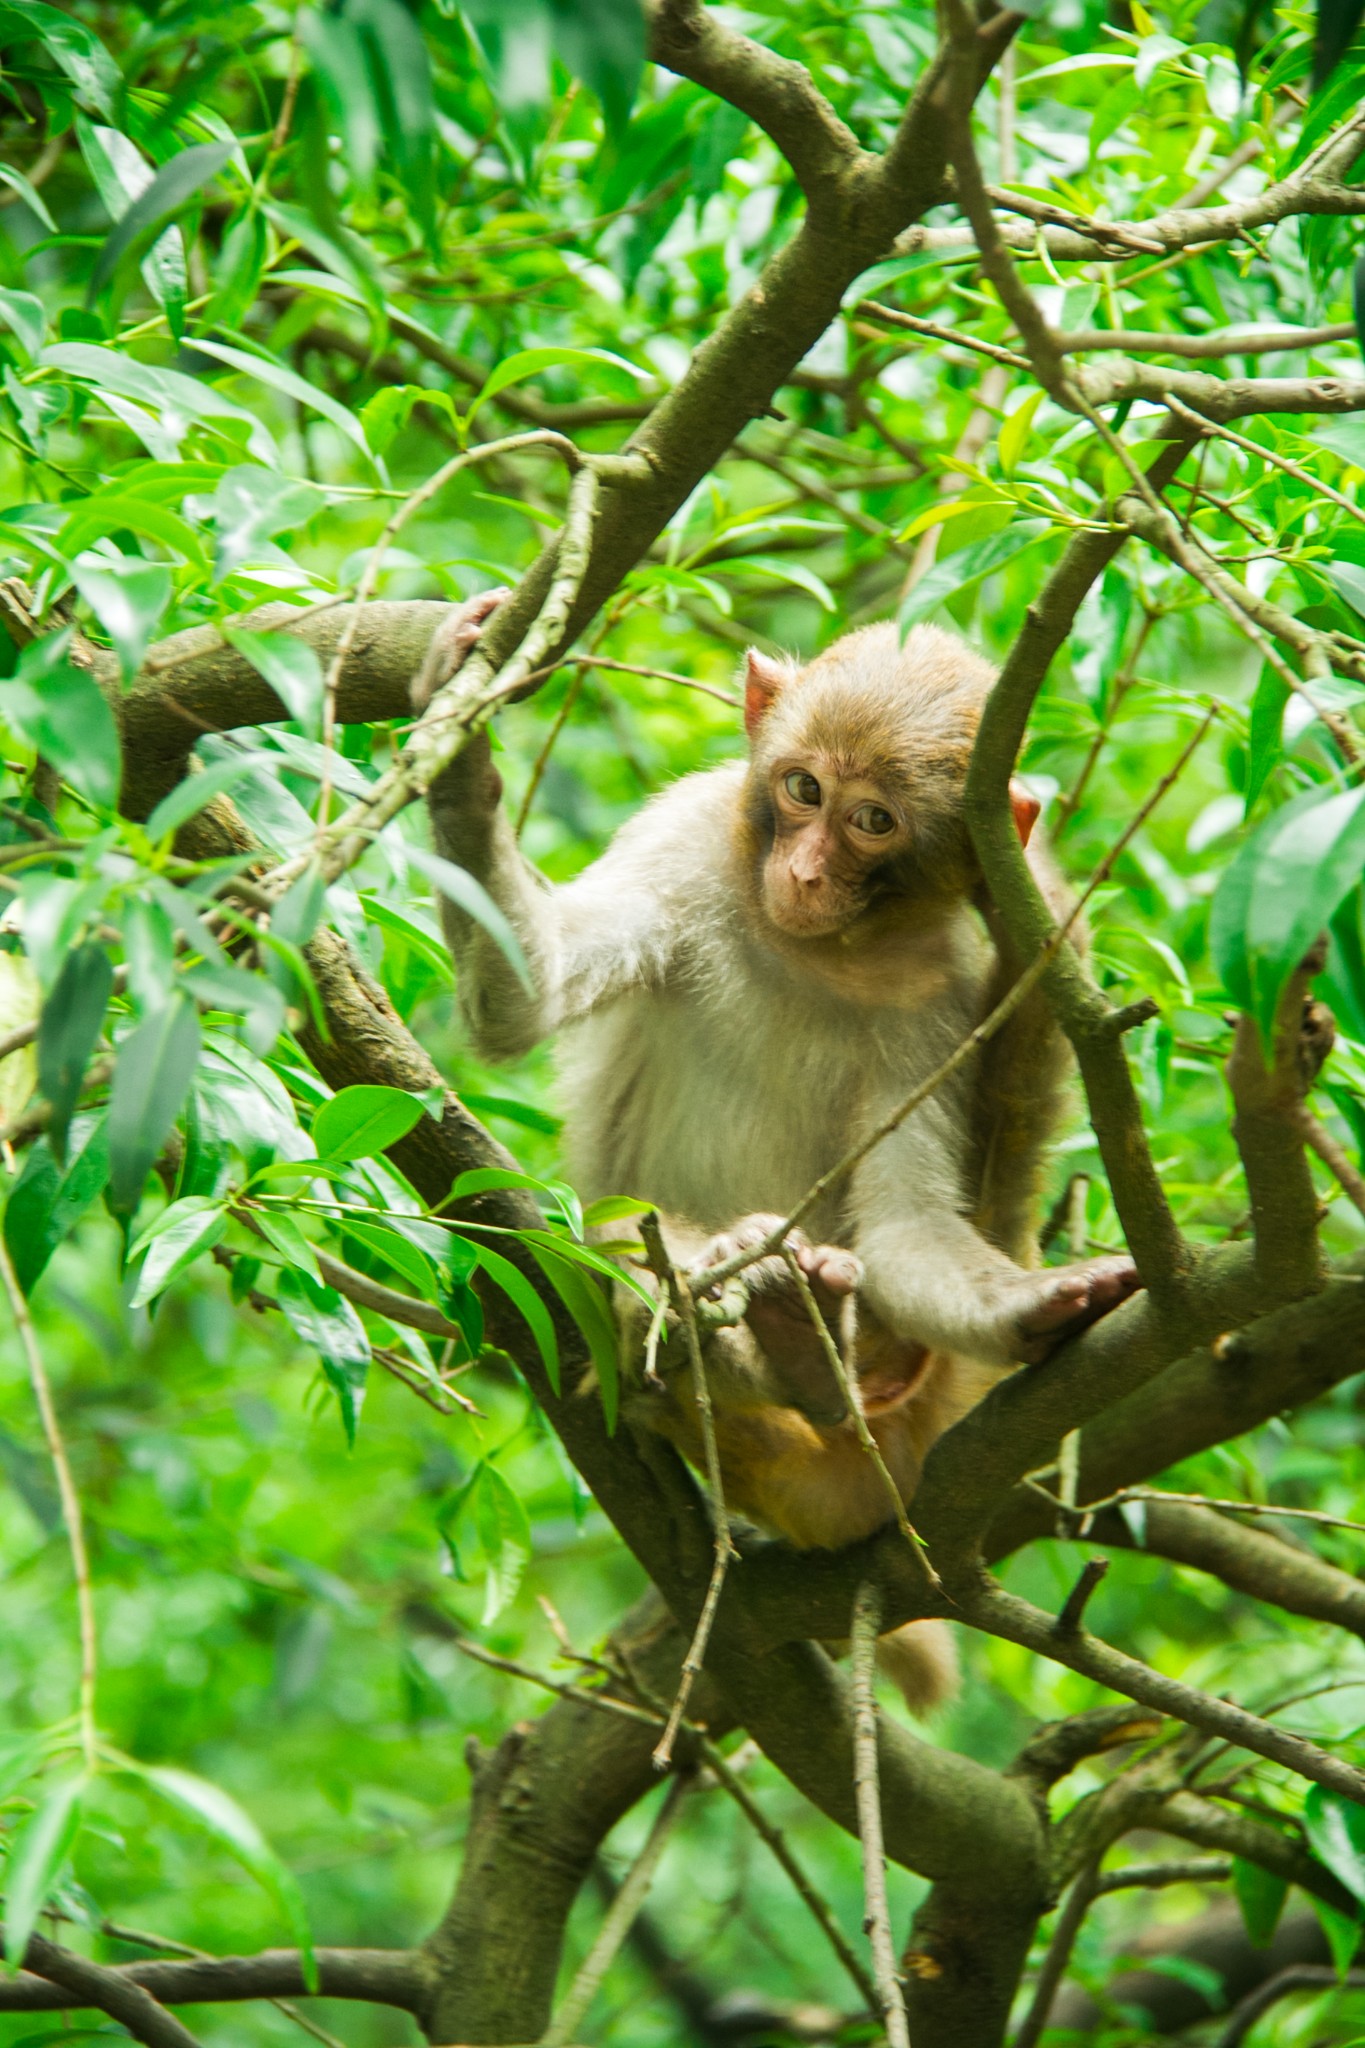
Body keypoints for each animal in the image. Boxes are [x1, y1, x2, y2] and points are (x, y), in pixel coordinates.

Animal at [417, 593, 1146, 1712]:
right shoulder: (679, 835)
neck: (819, 945)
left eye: (872, 820)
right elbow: (527, 997)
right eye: (803, 788)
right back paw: (774, 1335)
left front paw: (1031, 1307)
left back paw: (817, 1351)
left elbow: (906, 1223)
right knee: (626, 1251)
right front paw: (460, 759)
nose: (803, 871)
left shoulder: (943, 992)